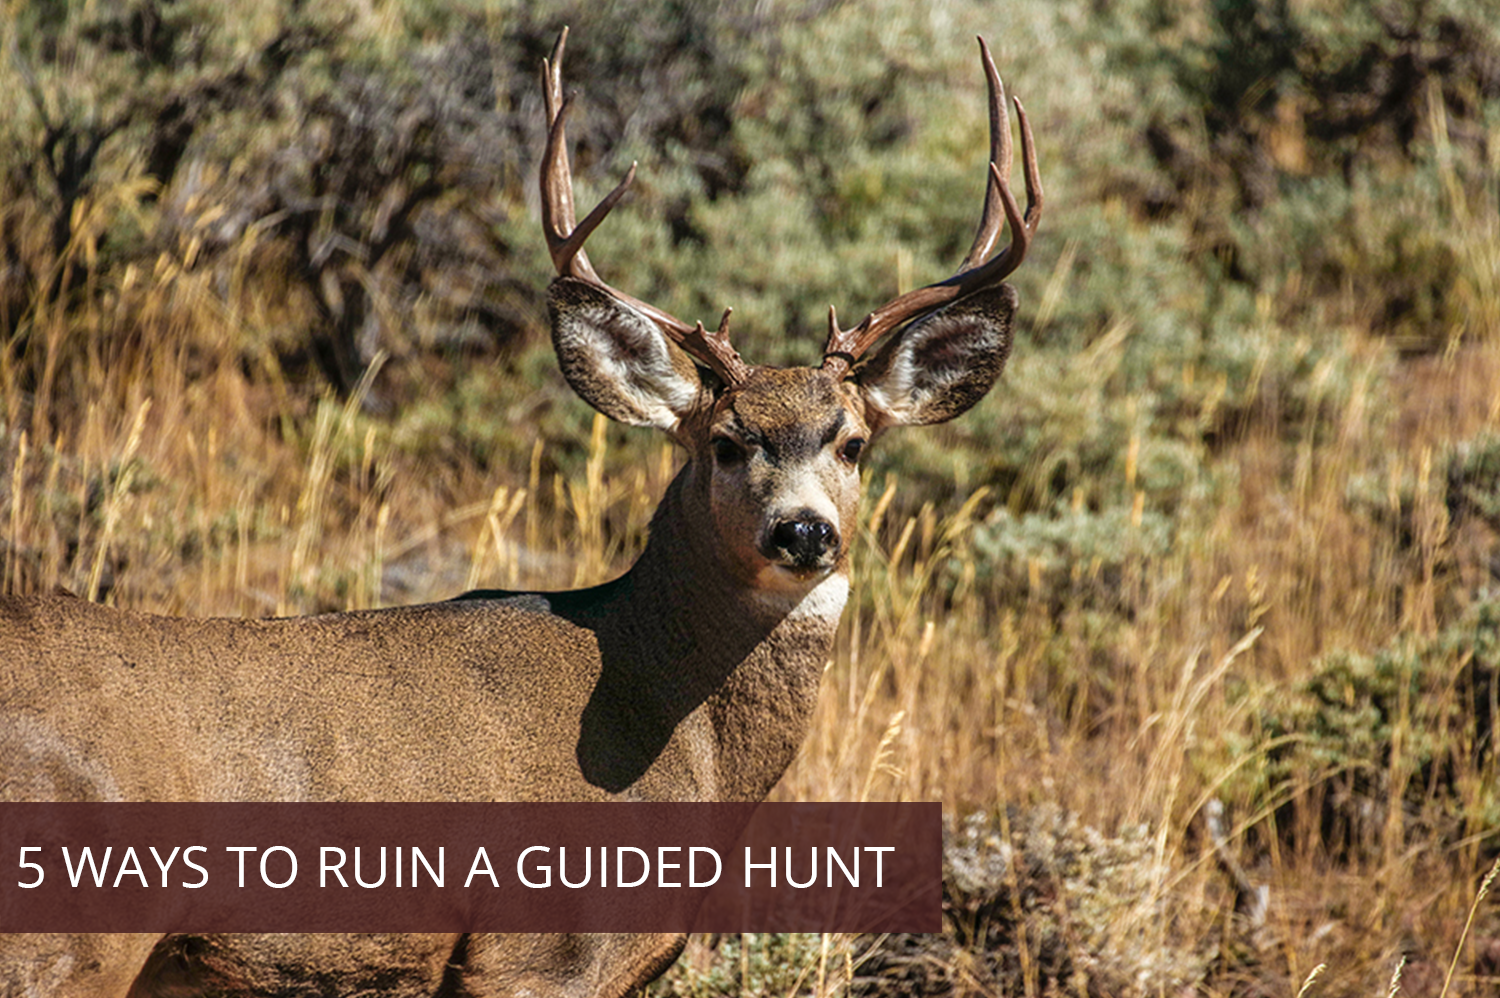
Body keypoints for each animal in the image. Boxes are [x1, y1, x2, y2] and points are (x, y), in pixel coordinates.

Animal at [0, 27, 1044, 990]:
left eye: (854, 442)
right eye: (725, 441)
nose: (803, 531)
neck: (664, 714)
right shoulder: (539, 952)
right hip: (68, 942)